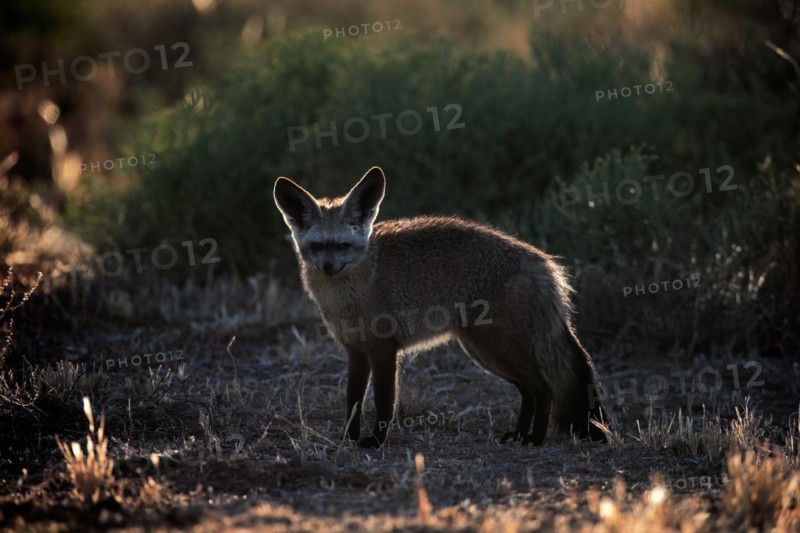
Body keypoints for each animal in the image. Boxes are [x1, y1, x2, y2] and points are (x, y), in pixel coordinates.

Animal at [273, 166, 607, 448]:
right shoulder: (355, 350)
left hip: (495, 348)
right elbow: (352, 400)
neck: (354, 291)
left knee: (544, 389)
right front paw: (348, 438)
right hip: (485, 353)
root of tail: (544, 261)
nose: (328, 267)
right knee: (529, 391)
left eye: (343, 246)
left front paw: (377, 441)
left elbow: (383, 402)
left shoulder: (383, 349)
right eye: (317, 247)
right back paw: (518, 434)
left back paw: (535, 439)